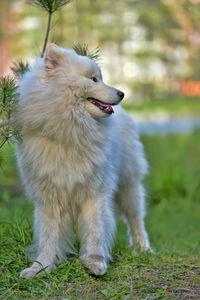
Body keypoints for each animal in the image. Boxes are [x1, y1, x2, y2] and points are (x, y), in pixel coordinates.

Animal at [15, 43, 150, 278]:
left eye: (100, 78)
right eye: (93, 79)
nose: (122, 93)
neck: (70, 131)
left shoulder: (94, 192)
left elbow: (95, 230)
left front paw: (96, 262)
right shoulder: (49, 197)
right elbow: (49, 237)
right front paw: (41, 267)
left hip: (129, 184)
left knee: (135, 218)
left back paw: (143, 248)